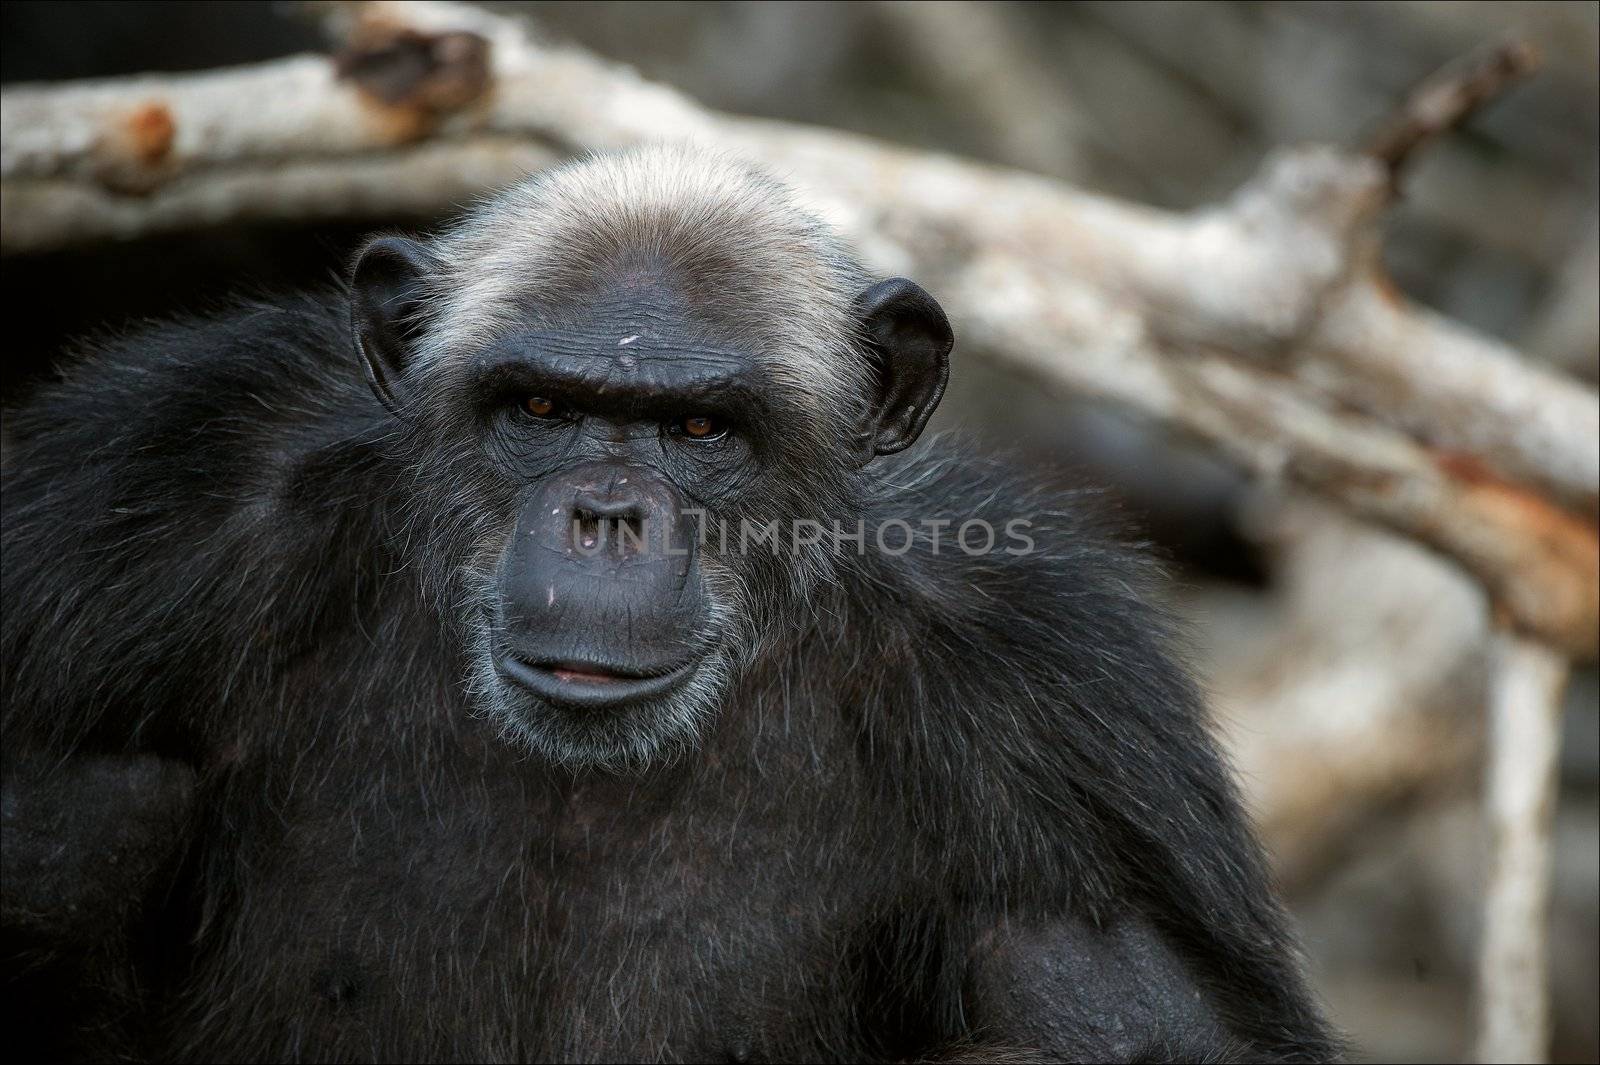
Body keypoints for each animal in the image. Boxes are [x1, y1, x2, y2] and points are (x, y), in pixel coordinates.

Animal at [3, 145, 1337, 1055]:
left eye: (701, 429)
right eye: (541, 407)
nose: (606, 519)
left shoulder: (1057, 704)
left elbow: (1139, 1009)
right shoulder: (144, 494)